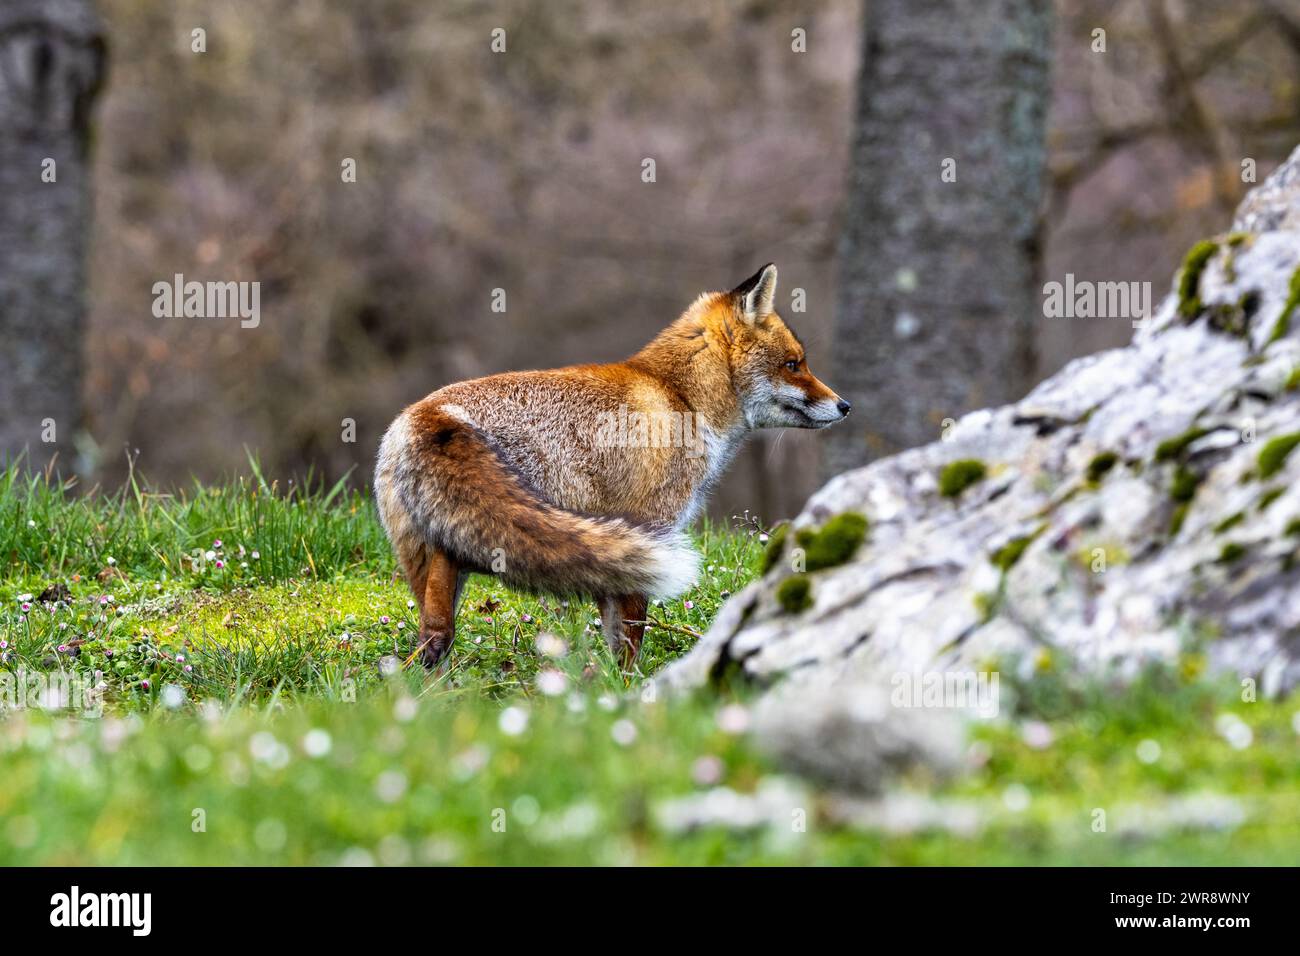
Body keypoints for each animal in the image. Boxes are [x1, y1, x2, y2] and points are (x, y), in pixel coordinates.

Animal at [371, 261, 847, 665]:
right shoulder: (650, 527)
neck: (682, 398)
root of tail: (431, 415)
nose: (845, 406)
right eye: (793, 365)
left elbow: (612, 631)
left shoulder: (617, 547)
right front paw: (627, 690)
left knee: (434, 625)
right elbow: (631, 635)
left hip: (435, 552)